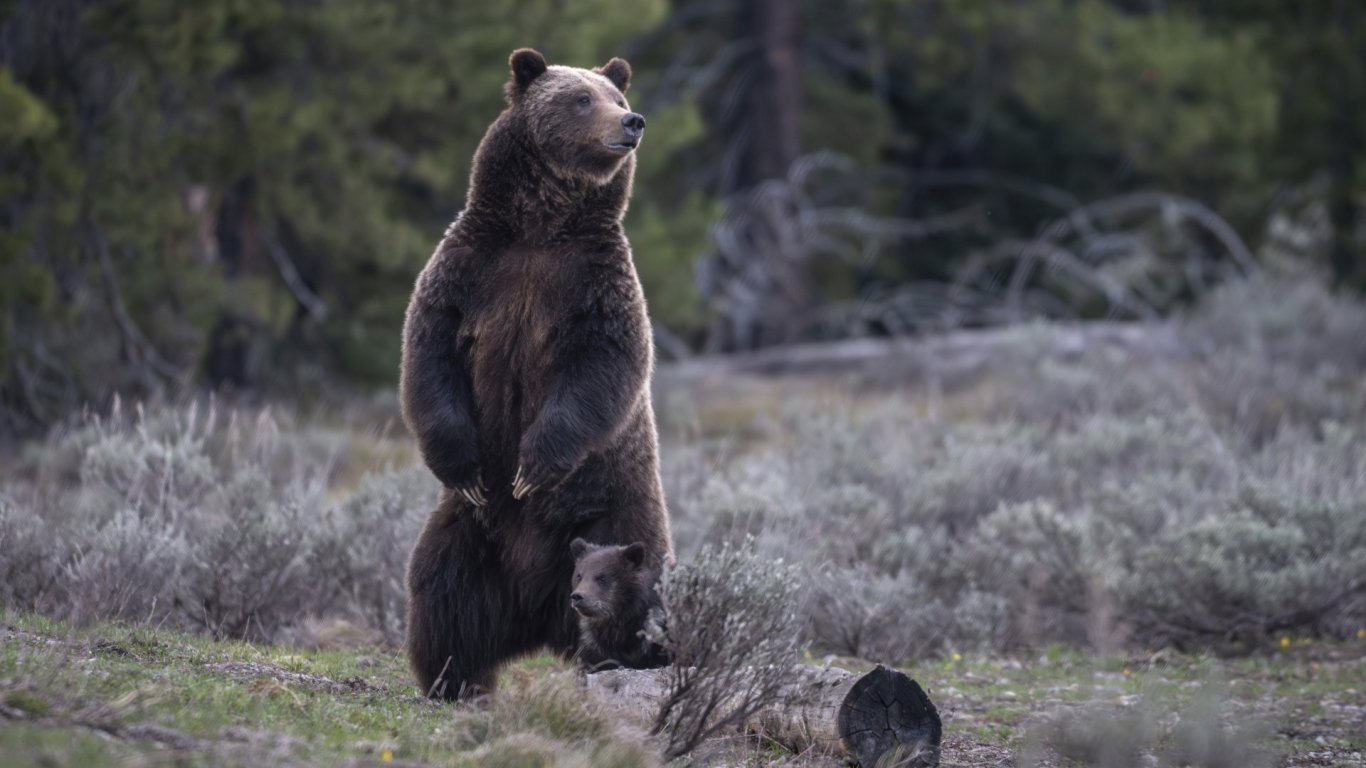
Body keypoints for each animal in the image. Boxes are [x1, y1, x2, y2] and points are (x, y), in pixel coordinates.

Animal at [398, 44, 674, 696]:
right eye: (582, 98)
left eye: (617, 96)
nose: (633, 122)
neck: (540, 227)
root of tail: (537, 612)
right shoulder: (470, 272)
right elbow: (430, 356)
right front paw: (467, 465)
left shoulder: (595, 286)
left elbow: (602, 369)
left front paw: (533, 467)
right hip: (471, 534)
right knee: (442, 592)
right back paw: (453, 679)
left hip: (618, 516)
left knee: (637, 591)